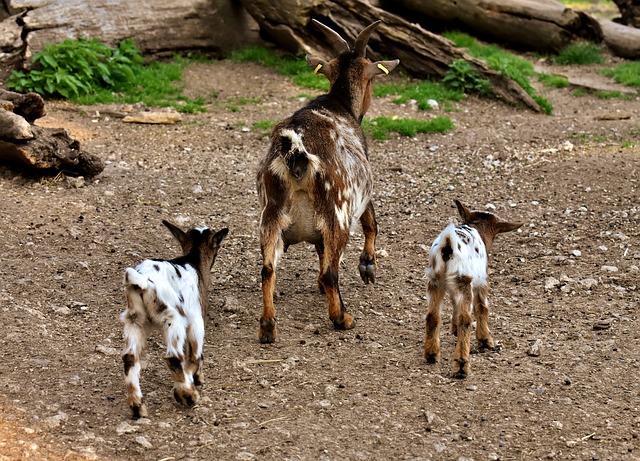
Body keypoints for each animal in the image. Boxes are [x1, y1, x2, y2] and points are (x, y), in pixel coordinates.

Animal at [121, 219, 229, 416]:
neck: (193, 261)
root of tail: (142, 281)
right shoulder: (196, 320)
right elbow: (194, 355)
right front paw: (193, 380)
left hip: (135, 320)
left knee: (130, 358)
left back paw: (137, 407)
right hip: (172, 319)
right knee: (173, 357)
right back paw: (189, 395)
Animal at [256, 18, 398, 342]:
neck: (338, 103)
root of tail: (295, 148)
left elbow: (320, 250)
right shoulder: (361, 191)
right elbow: (371, 222)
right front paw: (368, 266)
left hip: (271, 212)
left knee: (268, 269)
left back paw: (268, 326)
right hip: (338, 211)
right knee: (331, 272)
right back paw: (342, 318)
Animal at [424, 200, 520, 378]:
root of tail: (448, 245)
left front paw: (454, 329)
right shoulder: (481, 280)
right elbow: (482, 308)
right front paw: (486, 341)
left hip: (435, 280)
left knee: (432, 315)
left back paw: (432, 354)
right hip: (464, 281)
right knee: (466, 319)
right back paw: (462, 366)